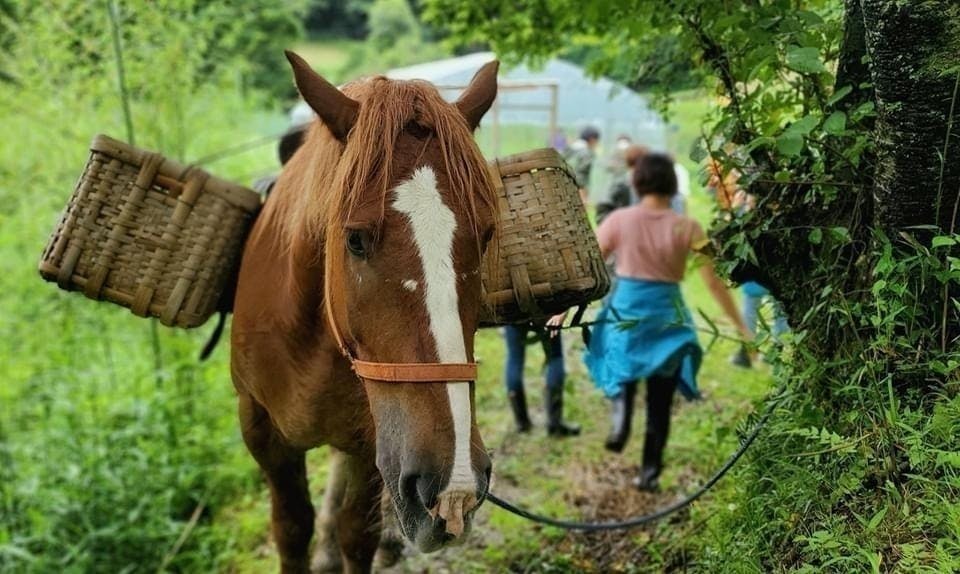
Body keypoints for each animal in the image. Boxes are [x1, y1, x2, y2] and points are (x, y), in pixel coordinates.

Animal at [232, 51, 498, 572]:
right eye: (355, 239)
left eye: (487, 235)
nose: (454, 483)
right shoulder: (261, 433)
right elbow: (290, 529)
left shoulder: (371, 442)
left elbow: (358, 533)